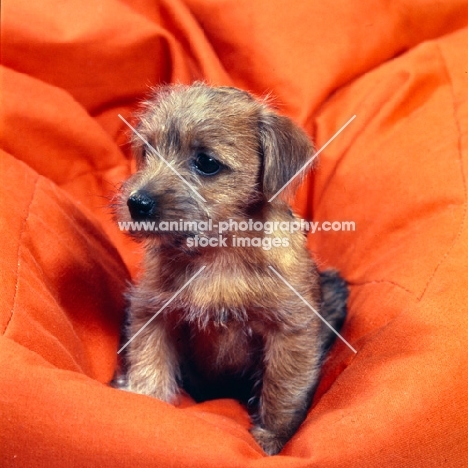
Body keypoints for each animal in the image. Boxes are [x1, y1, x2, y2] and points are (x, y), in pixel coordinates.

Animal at [113, 82, 348, 456]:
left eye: (207, 163)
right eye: (147, 151)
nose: (137, 203)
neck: (219, 255)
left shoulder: (290, 329)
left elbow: (282, 387)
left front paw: (273, 439)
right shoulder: (151, 311)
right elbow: (150, 361)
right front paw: (145, 399)